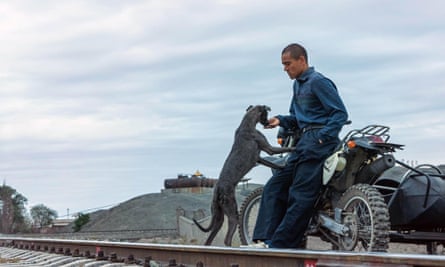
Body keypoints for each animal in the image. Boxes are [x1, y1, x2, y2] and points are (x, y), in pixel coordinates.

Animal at [193, 105, 294, 247]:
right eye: (266, 113)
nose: (268, 123)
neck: (247, 123)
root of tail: (218, 189)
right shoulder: (269, 149)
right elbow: (284, 150)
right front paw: (295, 149)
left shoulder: (259, 158)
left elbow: (273, 164)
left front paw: (283, 167)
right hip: (232, 212)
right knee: (227, 238)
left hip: (218, 216)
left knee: (209, 240)